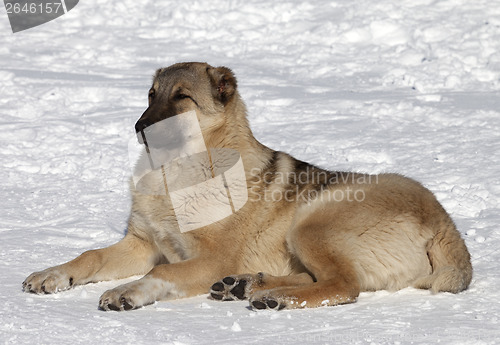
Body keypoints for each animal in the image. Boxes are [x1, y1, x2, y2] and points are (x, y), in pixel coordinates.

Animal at [20, 60, 472, 310]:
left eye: (181, 97)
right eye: (151, 94)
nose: (139, 128)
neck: (178, 171)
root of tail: (446, 225)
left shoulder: (209, 259)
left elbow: (160, 274)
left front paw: (127, 291)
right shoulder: (142, 244)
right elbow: (90, 255)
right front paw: (52, 274)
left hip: (311, 221)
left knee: (344, 285)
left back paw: (273, 297)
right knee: (323, 279)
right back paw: (248, 286)